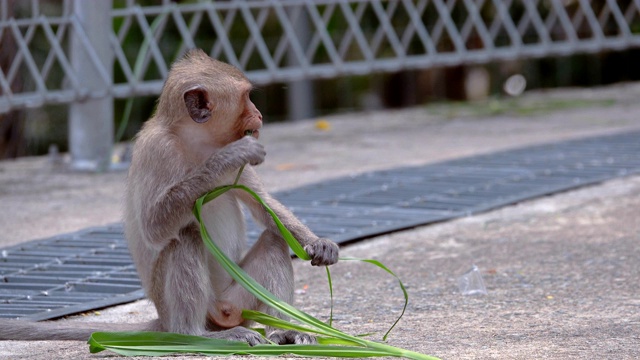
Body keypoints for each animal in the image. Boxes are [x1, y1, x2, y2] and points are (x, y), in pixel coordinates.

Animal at [0, 49, 340, 344]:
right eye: (246, 97)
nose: (258, 114)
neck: (195, 142)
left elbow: (264, 207)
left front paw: (317, 243)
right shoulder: (158, 151)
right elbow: (154, 226)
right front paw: (227, 157)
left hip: (237, 298)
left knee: (273, 239)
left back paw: (281, 329)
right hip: (190, 306)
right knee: (185, 235)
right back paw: (198, 335)